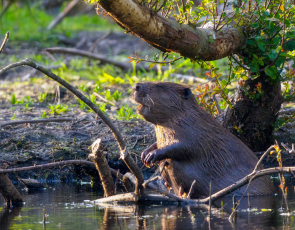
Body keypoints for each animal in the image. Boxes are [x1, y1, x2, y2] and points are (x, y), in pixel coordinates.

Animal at [132, 81, 276, 198]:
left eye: (159, 86)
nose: (135, 86)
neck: (186, 116)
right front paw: (145, 154)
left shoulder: (194, 129)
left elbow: (186, 146)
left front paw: (151, 156)